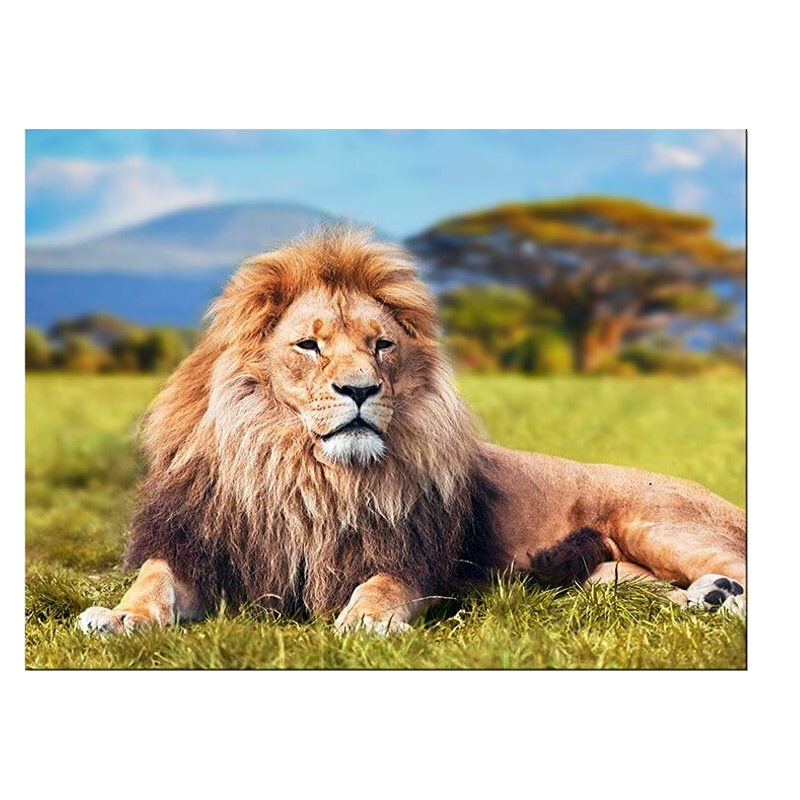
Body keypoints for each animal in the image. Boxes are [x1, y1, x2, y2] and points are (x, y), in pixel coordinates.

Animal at [78, 228, 745, 636]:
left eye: (382, 346)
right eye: (309, 345)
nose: (360, 390)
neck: (305, 475)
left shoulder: (414, 561)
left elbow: (382, 585)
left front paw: (366, 621)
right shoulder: (202, 549)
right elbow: (152, 581)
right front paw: (116, 617)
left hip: (653, 521)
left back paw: (720, 596)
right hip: (604, 578)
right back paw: (707, 598)